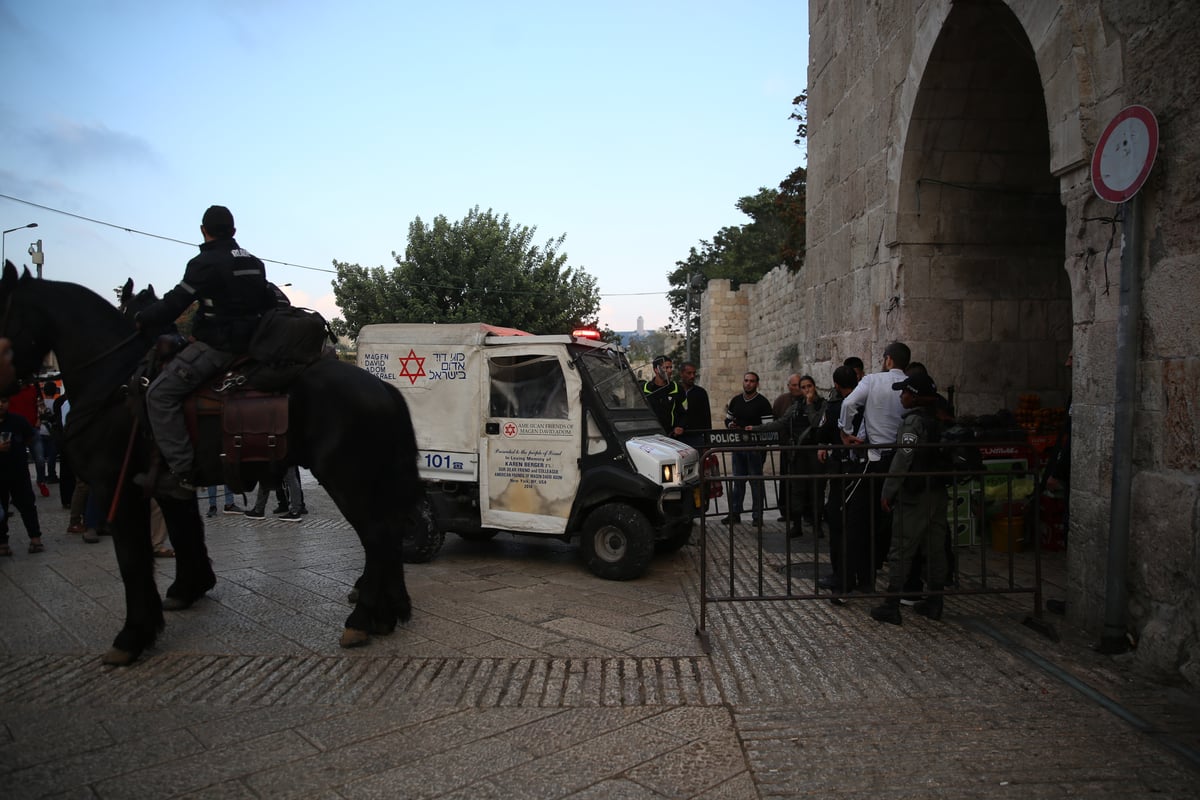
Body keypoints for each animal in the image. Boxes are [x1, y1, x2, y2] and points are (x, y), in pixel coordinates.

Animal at [0, 266, 424, 666]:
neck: (116, 384)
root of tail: (383, 387)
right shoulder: (168, 483)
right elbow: (186, 533)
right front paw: (188, 588)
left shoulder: (116, 488)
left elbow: (132, 561)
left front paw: (133, 635)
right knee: (387, 534)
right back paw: (387, 613)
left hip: (347, 480)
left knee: (377, 536)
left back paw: (362, 619)